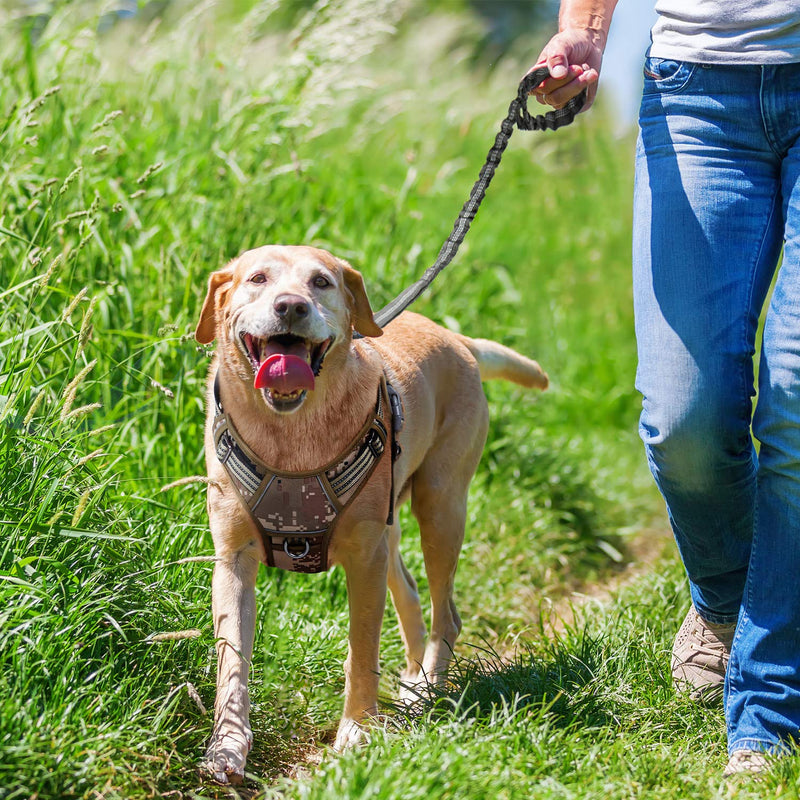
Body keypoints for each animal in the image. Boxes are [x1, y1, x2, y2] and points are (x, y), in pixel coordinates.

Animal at [195, 244, 548, 780]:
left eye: (320, 282)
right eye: (257, 279)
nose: (291, 306)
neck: (290, 438)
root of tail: (458, 339)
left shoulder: (363, 561)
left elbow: (362, 648)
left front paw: (357, 731)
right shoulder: (232, 561)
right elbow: (232, 660)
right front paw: (228, 745)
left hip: (440, 508)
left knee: (446, 613)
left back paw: (427, 689)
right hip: (391, 529)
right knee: (411, 594)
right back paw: (413, 682)